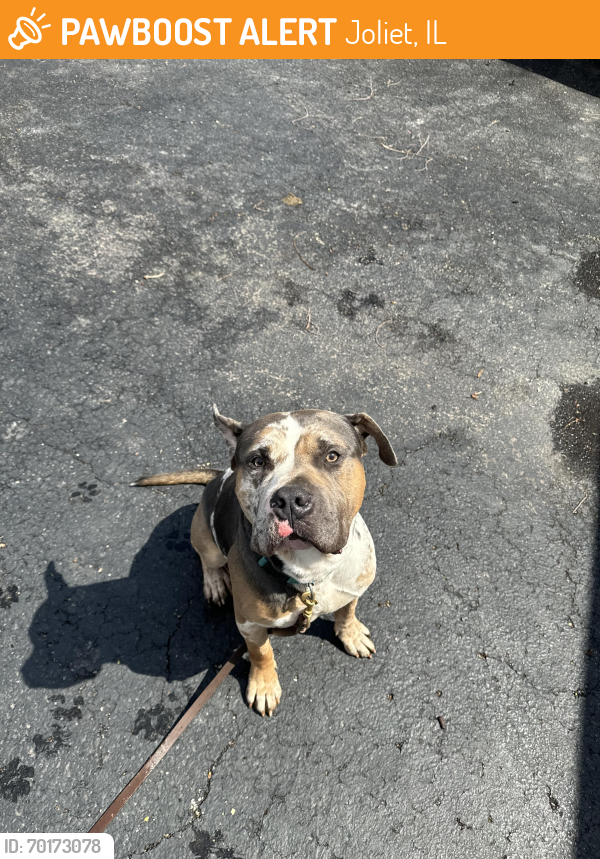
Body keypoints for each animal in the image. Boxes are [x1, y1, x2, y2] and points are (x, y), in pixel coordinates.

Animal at [137, 406, 398, 716]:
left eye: (332, 456)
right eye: (258, 461)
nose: (290, 498)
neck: (311, 570)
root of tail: (220, 475)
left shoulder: (351, 588)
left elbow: (347, 612)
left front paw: (351, 633)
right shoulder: (249, 623)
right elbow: (260, 652)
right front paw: (263, 684)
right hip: (205, 537)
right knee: (206, 559)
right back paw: (215, 582)